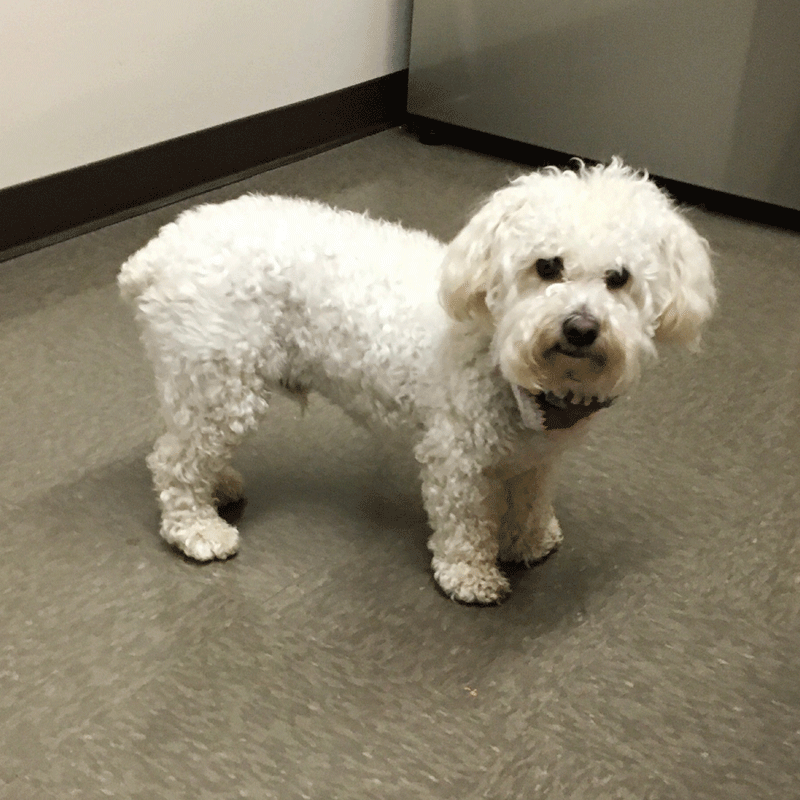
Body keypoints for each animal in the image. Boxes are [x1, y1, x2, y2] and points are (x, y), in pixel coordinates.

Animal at [117, 159, 712, 604]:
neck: (506, 356)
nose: (581, 328)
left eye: (619, 279)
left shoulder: (538, 457)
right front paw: (470, 575)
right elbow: (464, 522)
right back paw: (197, 528)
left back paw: (219, 485)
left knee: (187, 447)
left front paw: (530, 541)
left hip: (202, 384)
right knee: (173, 462)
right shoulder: (457, 457)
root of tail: (158, 250)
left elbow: (531, 500)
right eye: (547, 266)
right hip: (219, 380)